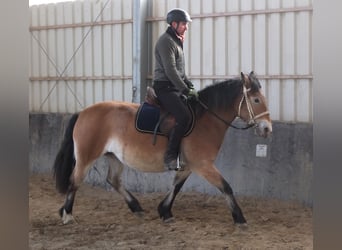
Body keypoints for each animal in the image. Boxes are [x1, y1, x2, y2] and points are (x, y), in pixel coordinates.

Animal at [53, 71, 272, 226]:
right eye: (256, 100)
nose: (267, 129)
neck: (206, 119)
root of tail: (83, 112)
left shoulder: (189, 166)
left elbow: (176, 186)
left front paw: (164, 211)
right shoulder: (203, 165)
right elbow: (226, 187)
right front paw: (239, 218)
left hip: (113, 156)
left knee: (113, 180)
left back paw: (136, 208)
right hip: (86, 156)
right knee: (75, 180)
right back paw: (67, 215)